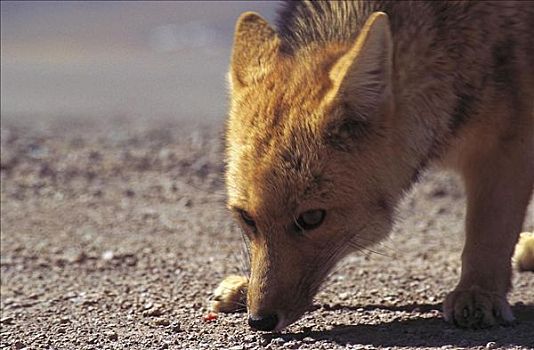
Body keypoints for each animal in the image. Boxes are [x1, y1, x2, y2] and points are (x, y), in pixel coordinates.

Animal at [214, 0, 534, 332]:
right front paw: (244, 285)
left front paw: (478, 291)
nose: (260, 321)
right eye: (247, 218)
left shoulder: (508, 145)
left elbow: (488, 231)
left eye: (312, 218)